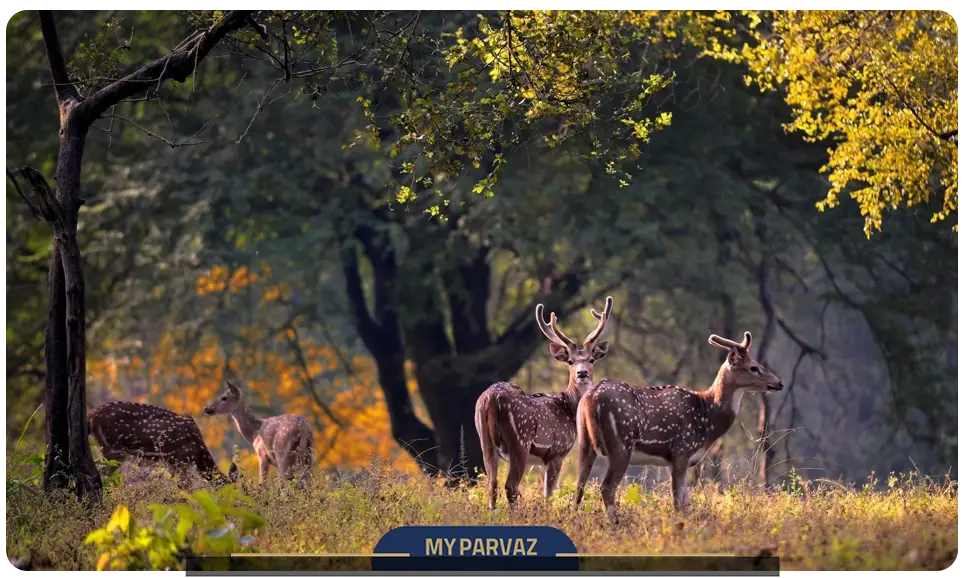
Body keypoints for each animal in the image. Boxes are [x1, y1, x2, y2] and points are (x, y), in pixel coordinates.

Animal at [87, 400, 239, 486]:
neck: (199, 454)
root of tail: (92, 415)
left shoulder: (171, 463)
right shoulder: (180, 460)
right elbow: (186, 488)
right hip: (114, 449)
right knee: (98, 474)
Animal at [476, 294, 616, 506]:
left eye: (591, 359)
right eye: (570, 361)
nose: (582, 373)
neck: (568, 407)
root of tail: (491, 399)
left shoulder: (542, 460)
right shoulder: (557, 452)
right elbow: (549, 494)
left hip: (484, 440)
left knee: (492, 485)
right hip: (520, 442)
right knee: (510, 486)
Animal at [572, 328, 784, 520]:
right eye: (754, 367)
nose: (779, 383)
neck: (708, 417)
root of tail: (591, 397)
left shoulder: (672, 459)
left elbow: (685, 501)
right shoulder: (682, 449)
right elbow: (678, 502)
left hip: (584, 440)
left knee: (579, 485)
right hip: (621, 444)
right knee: (607, 487)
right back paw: (615, 523)